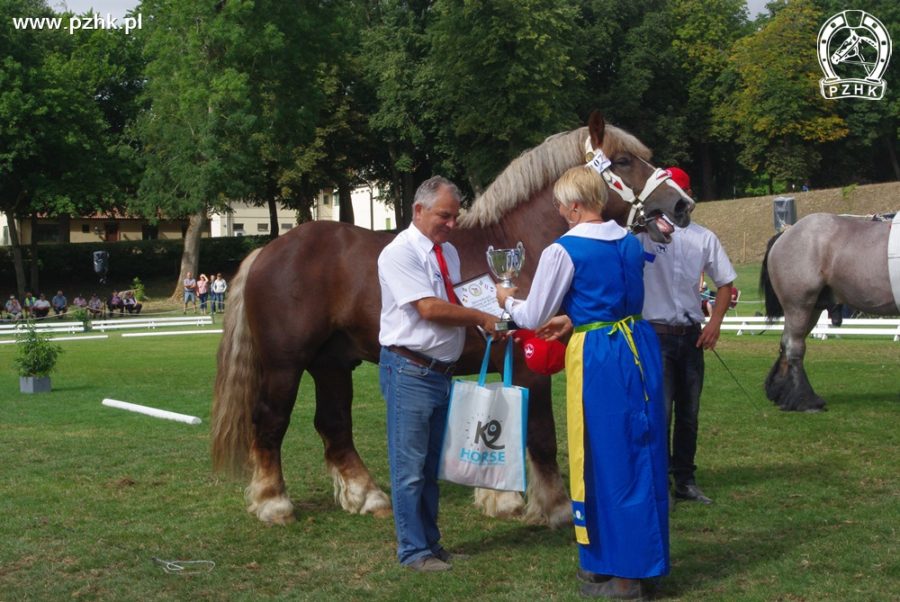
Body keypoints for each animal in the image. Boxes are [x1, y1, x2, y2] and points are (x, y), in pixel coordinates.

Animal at [213, 112, 696, 524]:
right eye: (624, 160)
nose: (682, 205)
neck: (521, 243)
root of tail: (268, 250)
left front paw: (502, 498)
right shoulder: (530, 367)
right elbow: (541, 434)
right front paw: (555, 508)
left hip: (332, 365)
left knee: (333, 426)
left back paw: (367, 496)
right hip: (285, 365)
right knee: (271, 421)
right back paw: (273, 502)